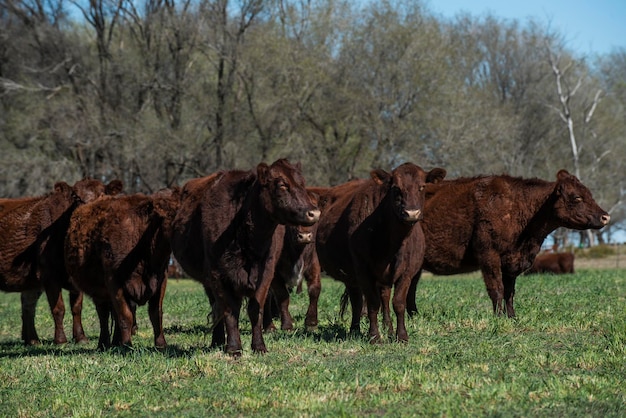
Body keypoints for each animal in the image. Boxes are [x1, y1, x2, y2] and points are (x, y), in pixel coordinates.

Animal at [0, 178, 123, 344]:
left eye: (102, 194)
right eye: (76, 197)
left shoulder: (74, 276)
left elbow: (76, 307)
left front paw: (80, 337)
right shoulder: (49, 274)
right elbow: (58, 308)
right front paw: (60, 340)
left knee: (28, 305)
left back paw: (32, 340)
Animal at [64, 188, 179, 348]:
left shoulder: (161, 279)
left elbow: (156, 314)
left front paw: (161, 345)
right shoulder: (114, 282)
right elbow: (125, 316)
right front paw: (126, 345)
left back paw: (115, 342)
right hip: (98, 290)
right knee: (104, 315)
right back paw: (104, 343)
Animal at [169, 158, 320, 354]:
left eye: (302, 183)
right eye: (281, 184)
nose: (314, 213)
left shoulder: (266, 273)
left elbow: (255, 308)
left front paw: (259, 346)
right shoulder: (218, 275)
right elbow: (229, 310)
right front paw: (234, 348)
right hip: (208, 280)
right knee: (216, 307)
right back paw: (217, 340)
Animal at [312, 163, 444, 342]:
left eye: (422, 187)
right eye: (396, 188)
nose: (411, 213)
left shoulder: (407, 272)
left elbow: (398, 303)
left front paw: (401, 336)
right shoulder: (363, 270)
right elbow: (372, 303)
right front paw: (374, 336)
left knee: (384, 298)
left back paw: (388, 328)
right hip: (351, 275)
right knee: (357, 301)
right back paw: (355, 330)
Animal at [404, 169, 604, 316]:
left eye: (590, 194)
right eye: (577, 197)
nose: (605, 216)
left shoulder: (512, 261)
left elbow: (510, 291)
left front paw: (512, 316)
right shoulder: (489, 255)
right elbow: (497, 288)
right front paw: (498, 317)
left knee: (410, 288)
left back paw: (415, 315)